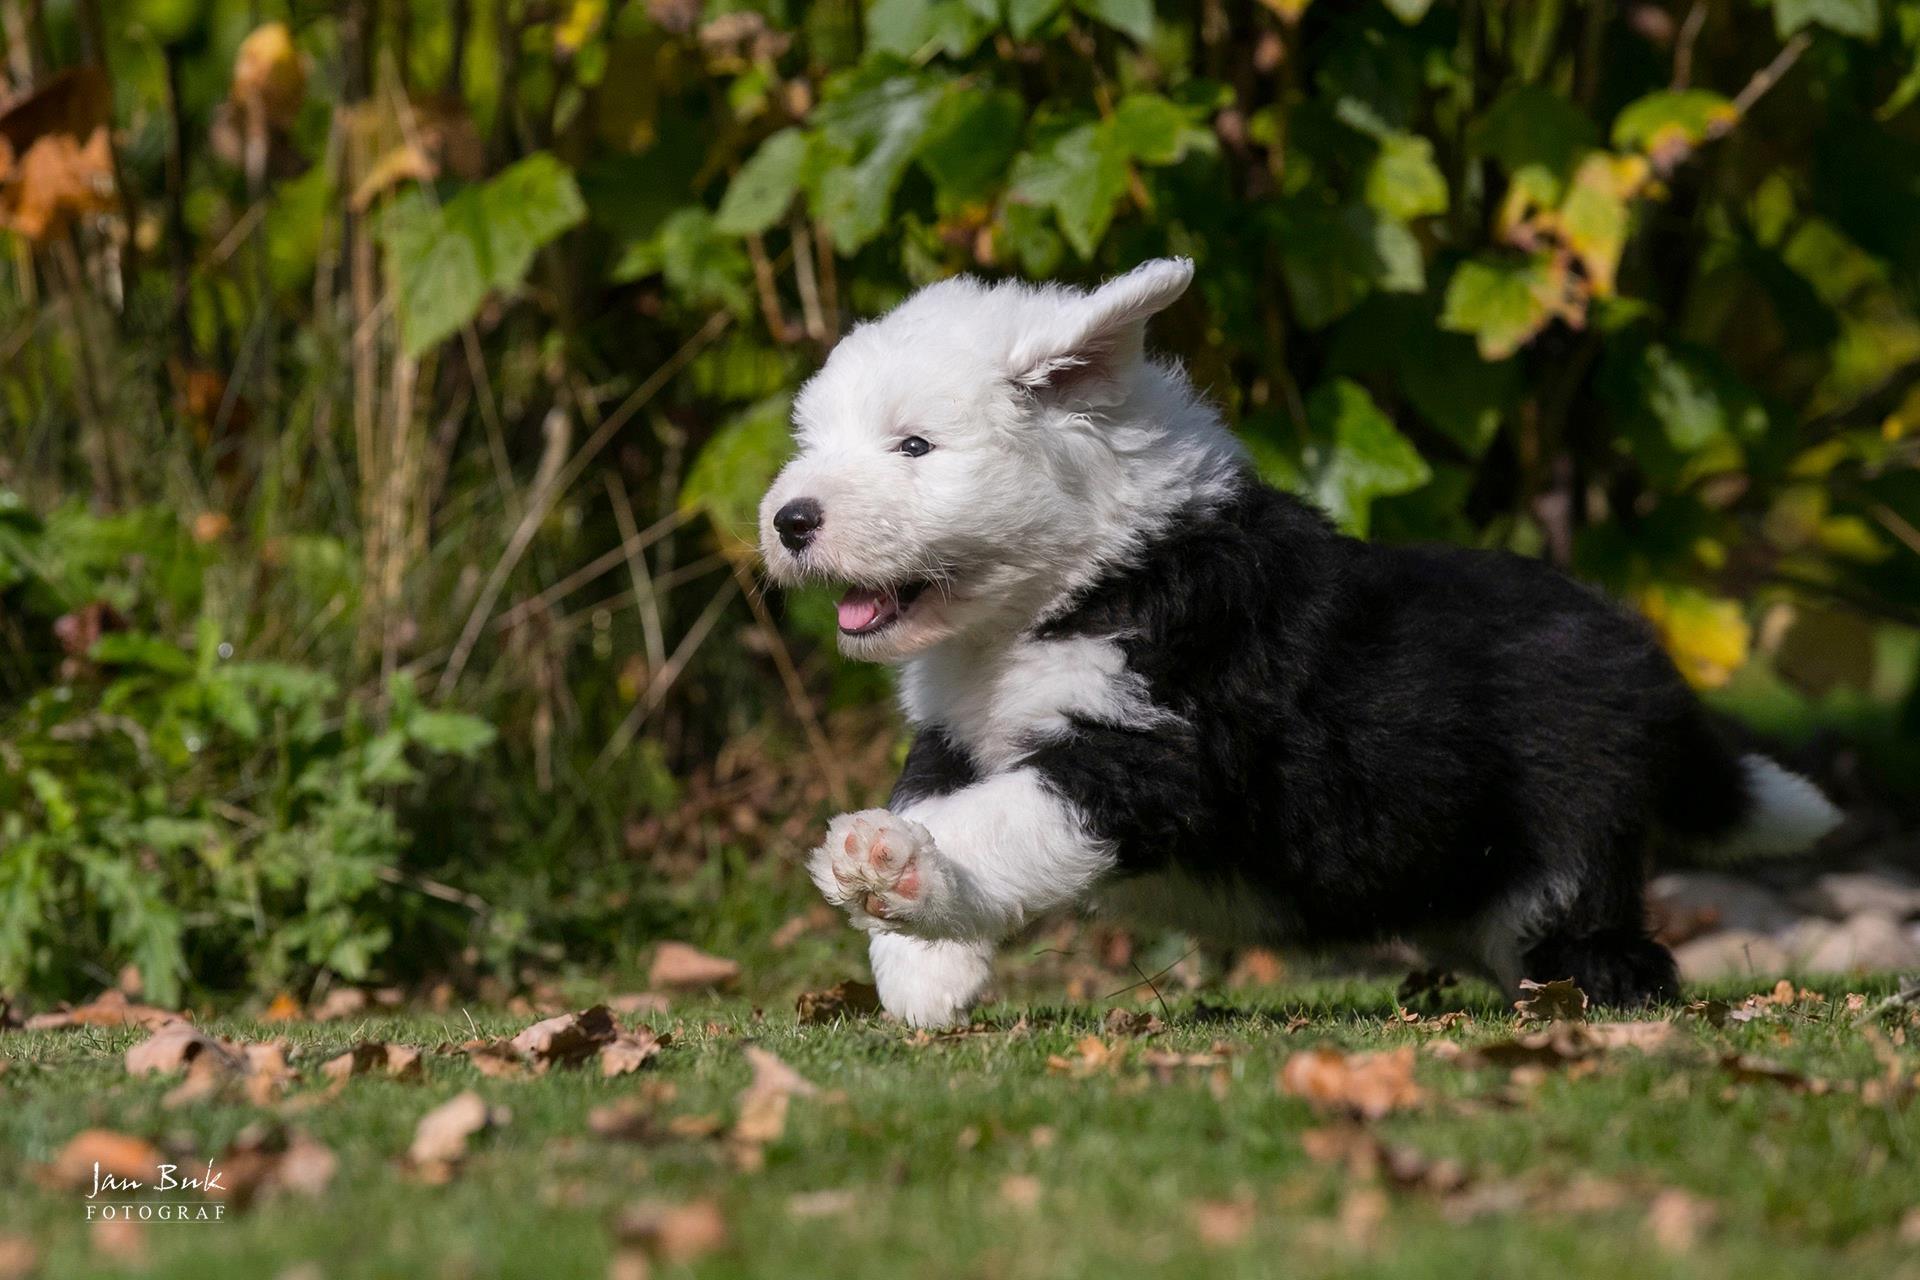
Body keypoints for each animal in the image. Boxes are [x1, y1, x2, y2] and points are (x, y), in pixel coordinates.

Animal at [752, 260, 1843, 1028]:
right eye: (814, 442)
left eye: (916, 446)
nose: (789, 520)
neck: (1080, 579)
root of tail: (1642, 656)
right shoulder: (957, 728)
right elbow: (935, 789)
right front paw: (922, 962)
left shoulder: (1158, 746)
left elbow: (1004, 816)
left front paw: (897, 869)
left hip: (1570, 839)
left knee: (1615, 951)